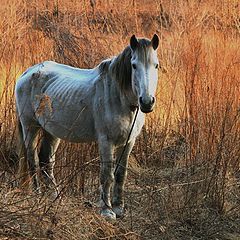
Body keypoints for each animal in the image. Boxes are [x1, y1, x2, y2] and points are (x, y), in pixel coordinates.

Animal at [15, 34, 160, 220]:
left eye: (156, 65)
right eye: (134, 65)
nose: (147, 102)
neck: (119, 98)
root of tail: (27, 73)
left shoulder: (129, 142)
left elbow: (121, 174)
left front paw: (119, 208)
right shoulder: (106, 141)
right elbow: (107, 174)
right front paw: (107, 210)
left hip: (51, 131)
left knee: (46, 160)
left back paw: (54, 196)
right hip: (30, 127)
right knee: (32, 159)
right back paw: (37, 194)